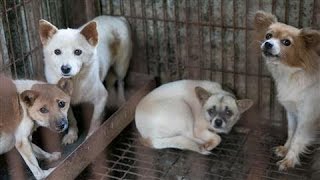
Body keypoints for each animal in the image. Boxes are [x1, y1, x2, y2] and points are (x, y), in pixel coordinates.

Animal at [38, 16, 131, 144]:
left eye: (78, 52)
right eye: (57, 51)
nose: (65, 68)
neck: (73, 81)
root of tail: (117, 18)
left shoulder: (101, 97)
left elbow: (95, 121)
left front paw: (91, 138)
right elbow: (71, 119)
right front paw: (72, 134)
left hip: (121, 67)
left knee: (121, 82)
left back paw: (121, 102)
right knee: (111, 84)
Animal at [255, 10, 320, 171]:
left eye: (286, 42)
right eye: (268, 36)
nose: (267, 44)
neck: (292, 74)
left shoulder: (307, 117)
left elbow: (298, 138)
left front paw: (289, 160)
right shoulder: (291, 111)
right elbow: (291, 132)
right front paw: (285, 149)